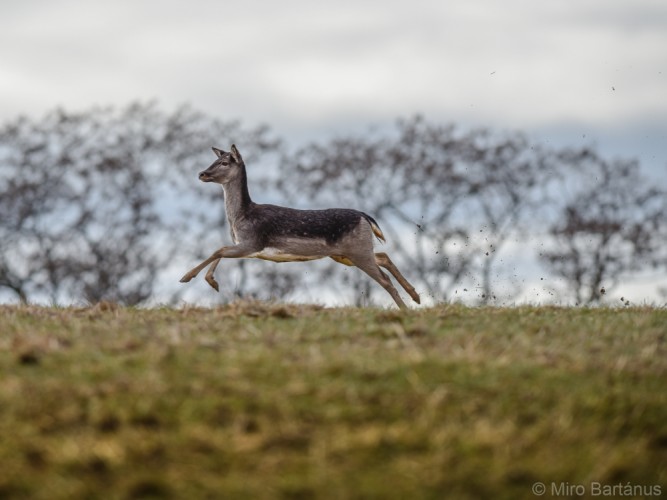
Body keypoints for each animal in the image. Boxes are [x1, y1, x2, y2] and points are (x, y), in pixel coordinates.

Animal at [177, 146, 418, 308]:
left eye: (225, 163)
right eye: (216, 159)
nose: (202, 174)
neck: (240, 218)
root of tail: (365, 217)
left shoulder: (252, 243)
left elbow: (219, 249)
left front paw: (188, 277)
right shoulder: (246, 246)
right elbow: (220, 250)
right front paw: (212, 282)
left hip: (357, 250)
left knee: (384, 279)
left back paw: (406, 309)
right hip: (346, 254)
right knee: (384, 256)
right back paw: (415, 296)